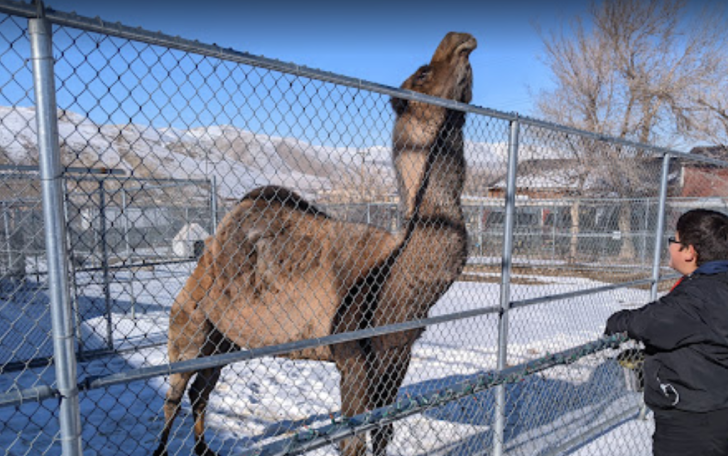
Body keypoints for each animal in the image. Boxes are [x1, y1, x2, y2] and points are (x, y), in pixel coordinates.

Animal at [151, 30, 474, 454]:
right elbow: (353, 440)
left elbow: (384, 432)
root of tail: (204, 258)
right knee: (175, 392)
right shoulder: (352, 355)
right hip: (189, 323)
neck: (399, 276)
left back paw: (205, 449)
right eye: (423, 72)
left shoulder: (398, 355)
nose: (460, 41)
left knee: (202, 388)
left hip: (223, 338)